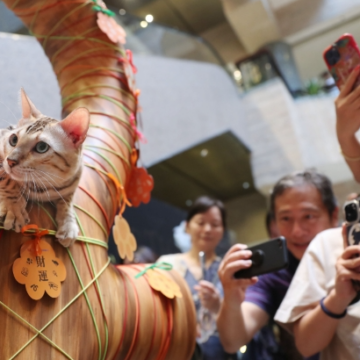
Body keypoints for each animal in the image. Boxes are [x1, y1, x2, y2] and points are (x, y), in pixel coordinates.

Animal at [0, 90, 89, 248]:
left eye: (42, 147)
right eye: (13, 139)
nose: (10, 160)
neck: (43, 186)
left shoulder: (74, 180)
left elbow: (67, 201)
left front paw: (68, 223)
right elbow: (6, 178)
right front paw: (13, 208)